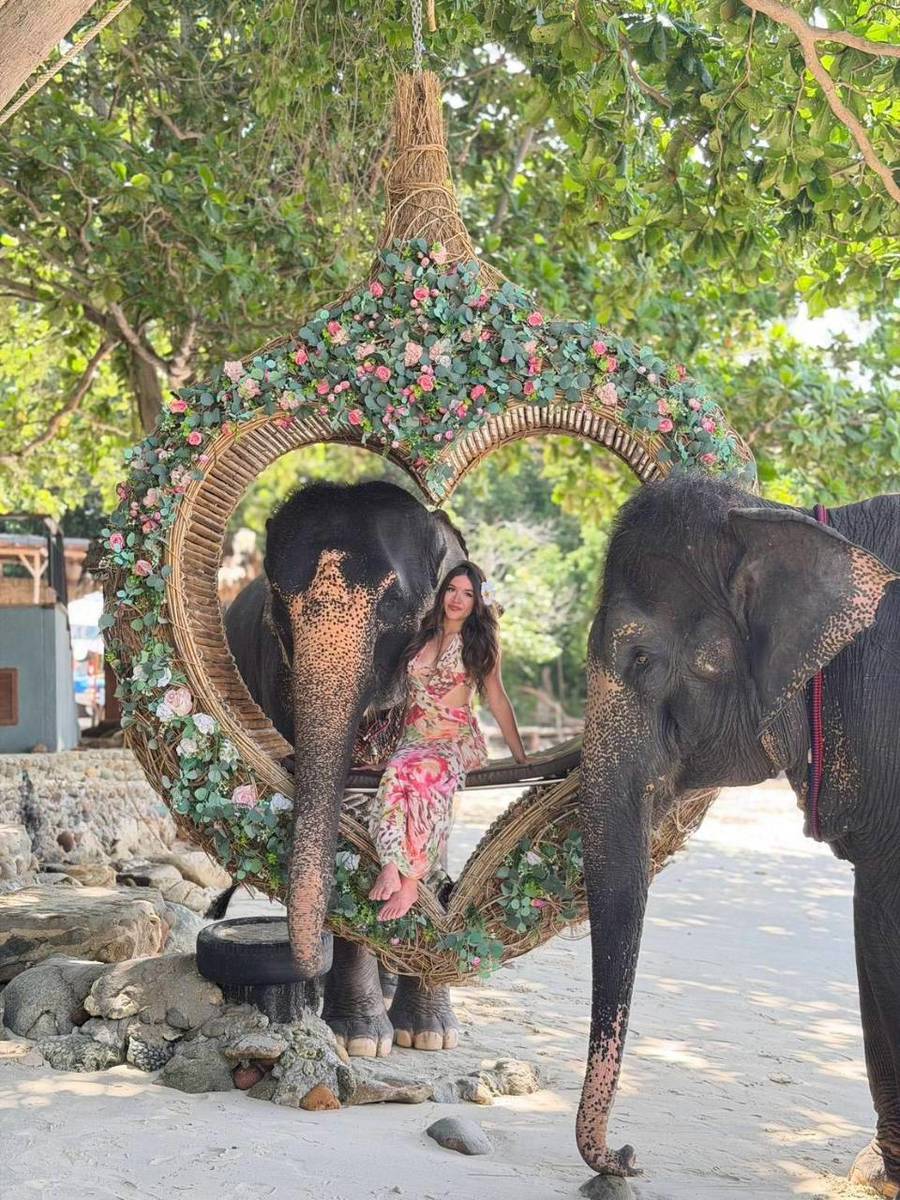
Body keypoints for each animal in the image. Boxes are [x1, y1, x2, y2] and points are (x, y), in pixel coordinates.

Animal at [225, 479, 468, 1055]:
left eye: (395, 605)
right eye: (278, 609)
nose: (303, 962)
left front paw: (429, 1035)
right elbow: (351, 820)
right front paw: (358, 1040)